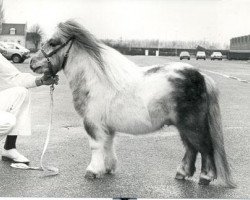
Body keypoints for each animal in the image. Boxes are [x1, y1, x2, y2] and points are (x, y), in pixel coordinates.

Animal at [30, 19, 235, 187]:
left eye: (53, 42)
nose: (32, 63)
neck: (96, 79)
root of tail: (201, 77)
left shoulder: (92, 123)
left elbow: (96, 146)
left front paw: (93, 171)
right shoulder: (106, 126)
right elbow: (108, 145)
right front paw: (108, 168)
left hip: (193, 124)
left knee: (204, 148)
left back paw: (205, 177)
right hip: (184, 126)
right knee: (191, 148)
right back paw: (182, 174)